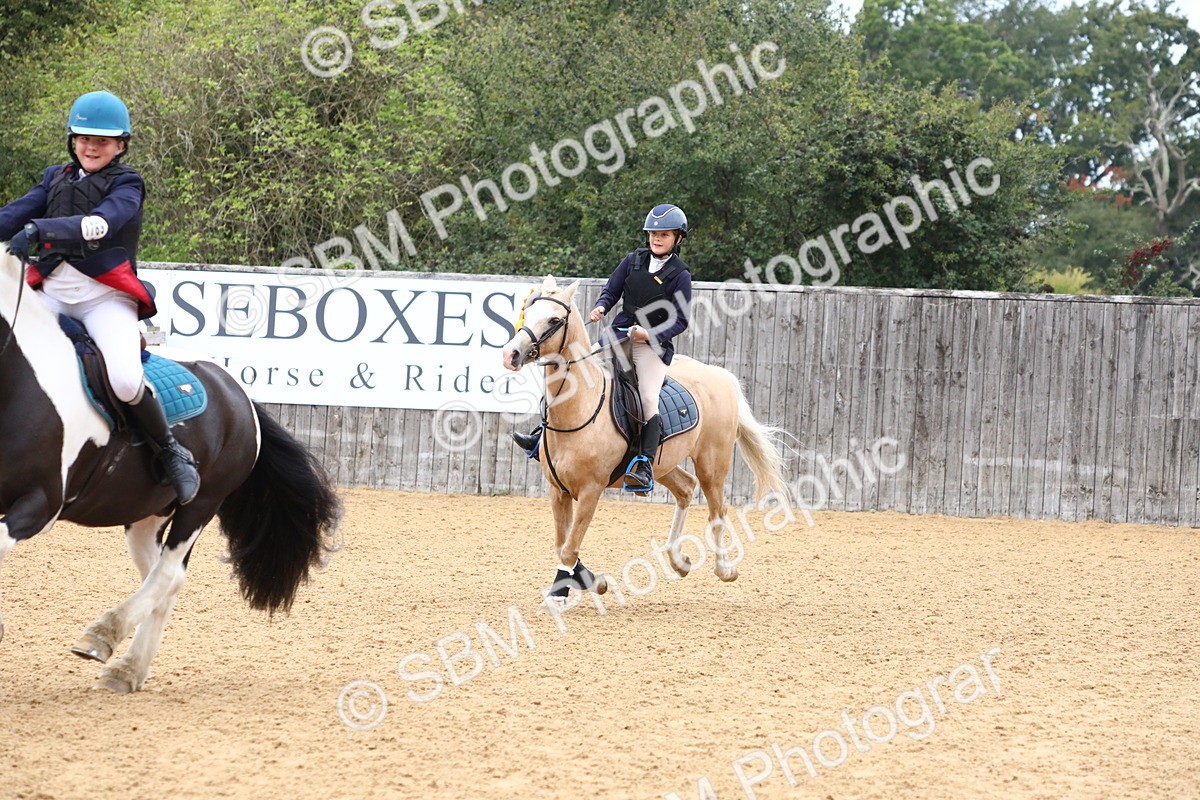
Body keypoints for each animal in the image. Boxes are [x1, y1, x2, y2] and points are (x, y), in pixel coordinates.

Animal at [0, 252, 340, 692]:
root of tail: (238, 392)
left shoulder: (40, 504)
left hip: (201, 504)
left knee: (167, 575)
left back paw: (106, 641)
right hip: (146, 515)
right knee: (166, 577)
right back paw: (128, 669)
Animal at [501, 275, 788, 600]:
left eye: (554, 320)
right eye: (526, 312)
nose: (510, 355)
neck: (580, 407)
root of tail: (719, 375)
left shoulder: (590, 491)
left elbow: (569, 548)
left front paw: (560, 595)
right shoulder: (557, 490)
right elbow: (563, 545)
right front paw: (592, 581)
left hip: (712, 462)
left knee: (717, 510)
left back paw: (725, 569)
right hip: (662, 465)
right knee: (685, 489)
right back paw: (678, 560)